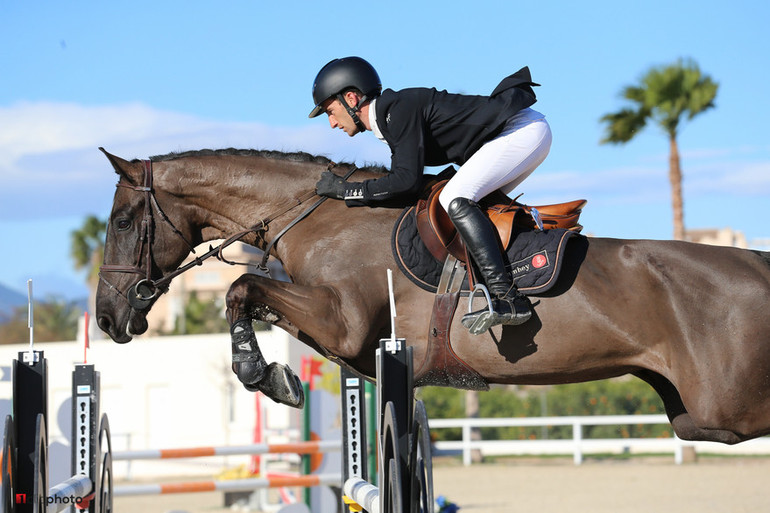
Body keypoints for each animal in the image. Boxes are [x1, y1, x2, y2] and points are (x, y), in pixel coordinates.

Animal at [94, 147, 768, 444]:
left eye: (123, 221)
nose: (106, 318)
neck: (315, 216)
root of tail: (757, 264)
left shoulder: (342, 321)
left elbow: (240, 287)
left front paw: (267, 376)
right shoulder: (350, 342)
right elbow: (252, 294)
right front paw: (275, 375)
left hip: (726, 407)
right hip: (695, 416)